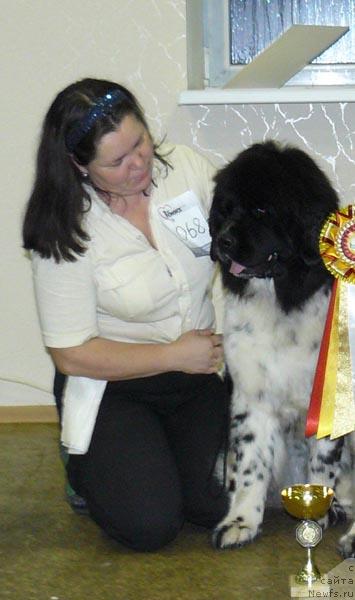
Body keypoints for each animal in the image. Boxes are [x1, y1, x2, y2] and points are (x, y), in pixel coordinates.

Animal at [210, 141, 354, 552]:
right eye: (226, 209)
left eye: (262, 211)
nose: (222, 241)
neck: (279, 300)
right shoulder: (250, 395)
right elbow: (249, 463)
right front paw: (241, 521)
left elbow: (322, 464)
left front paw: (317, 511)